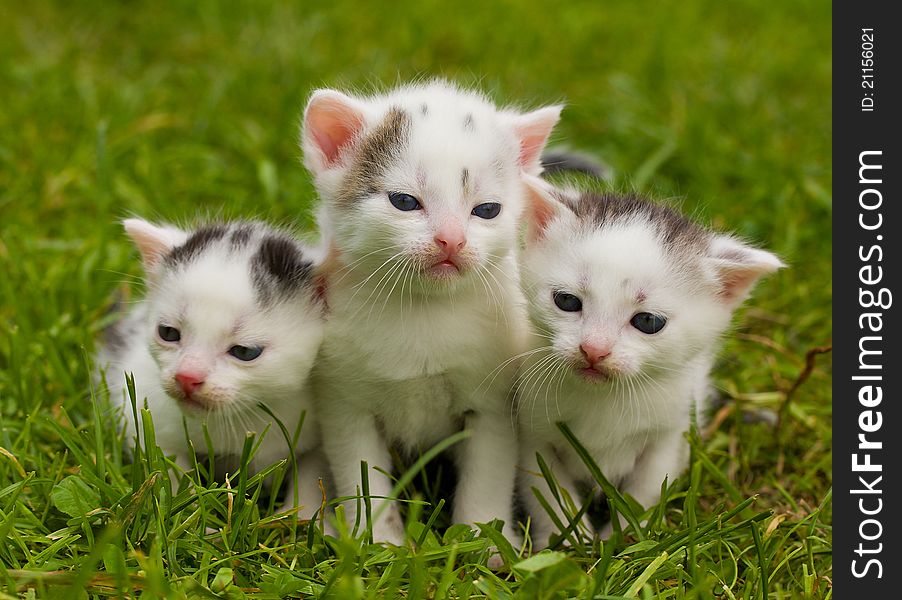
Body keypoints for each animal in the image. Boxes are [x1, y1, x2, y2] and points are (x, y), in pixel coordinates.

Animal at [98, 218, 328, 516]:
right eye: (168, 333)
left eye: (245, 352)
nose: (187, 377)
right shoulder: (144, 409)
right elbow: (167, 466)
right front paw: (189, 514)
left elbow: (314, 472)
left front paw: (299, 516)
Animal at [300, 78, 560, 544]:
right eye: (405, 201)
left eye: (487, 210)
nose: (451, 240)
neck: (424, 310)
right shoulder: (344, 401)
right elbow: (361, 472)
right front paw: (378, 542)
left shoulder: (493, 403)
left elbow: (487, 475)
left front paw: (484, 540)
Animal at [520, 177, 788, 544]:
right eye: (567, 301)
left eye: (648, 322)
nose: (594, 349)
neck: (602, 399)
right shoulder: (533, 432)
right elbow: (549, 491)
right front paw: (572, 543)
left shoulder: (669, 433)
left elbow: (646, 490)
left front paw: (626, 540)